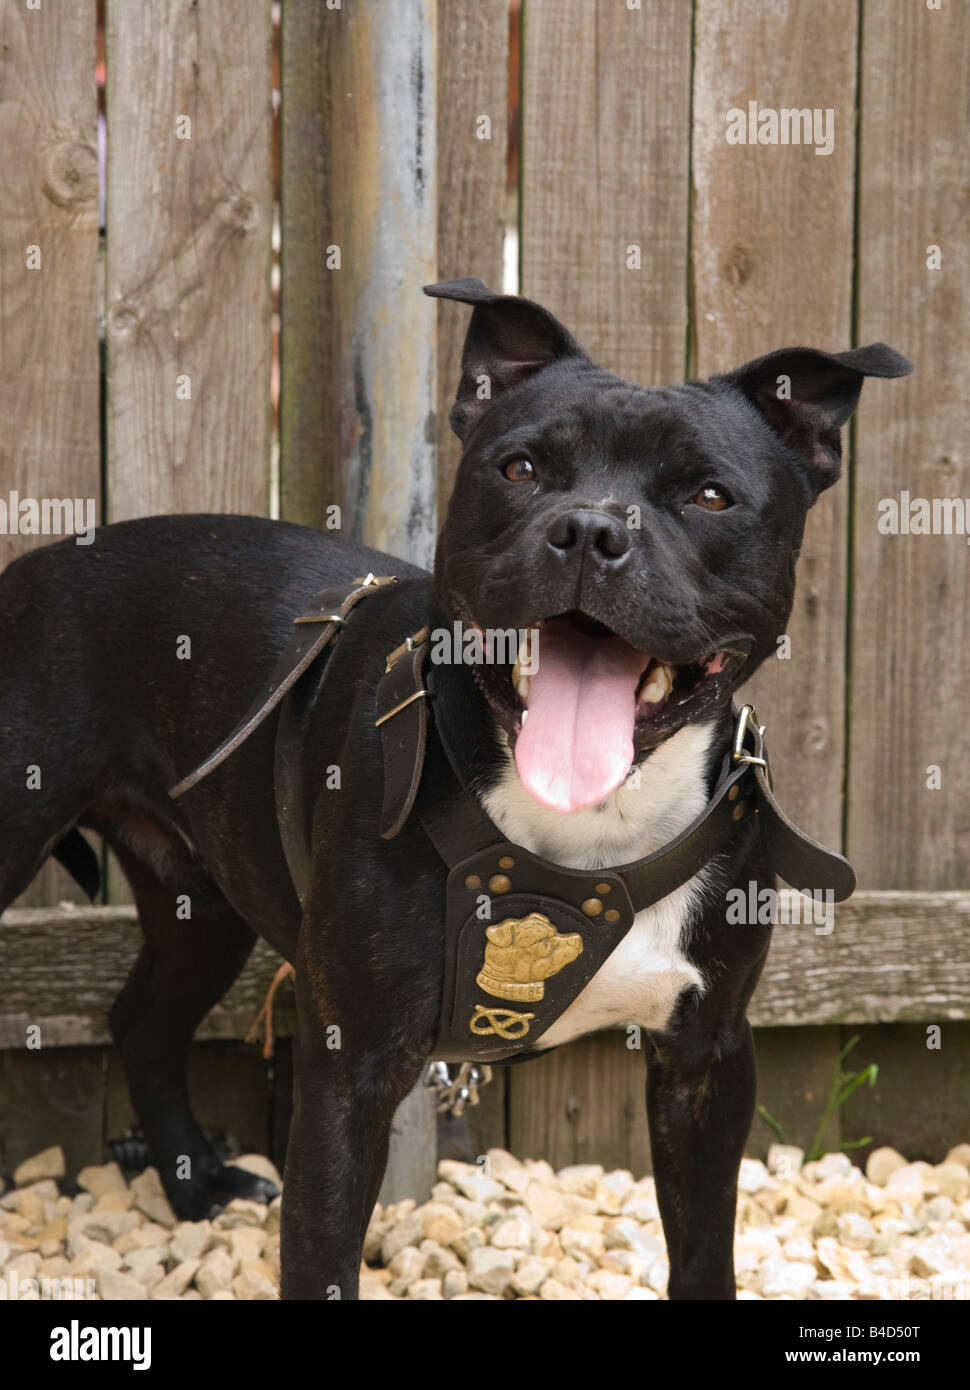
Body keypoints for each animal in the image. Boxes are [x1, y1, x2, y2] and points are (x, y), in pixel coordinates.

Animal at [0, 282, 906, 1301]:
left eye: (710, 496)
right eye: (520, 468)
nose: (591, 530)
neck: (587, 831)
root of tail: (38, 562)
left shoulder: (707, 1056)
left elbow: (705, 1248)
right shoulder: (348, 1068)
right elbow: (322, 1257)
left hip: (204, 904)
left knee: (145, 1025)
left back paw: (196, 1191)